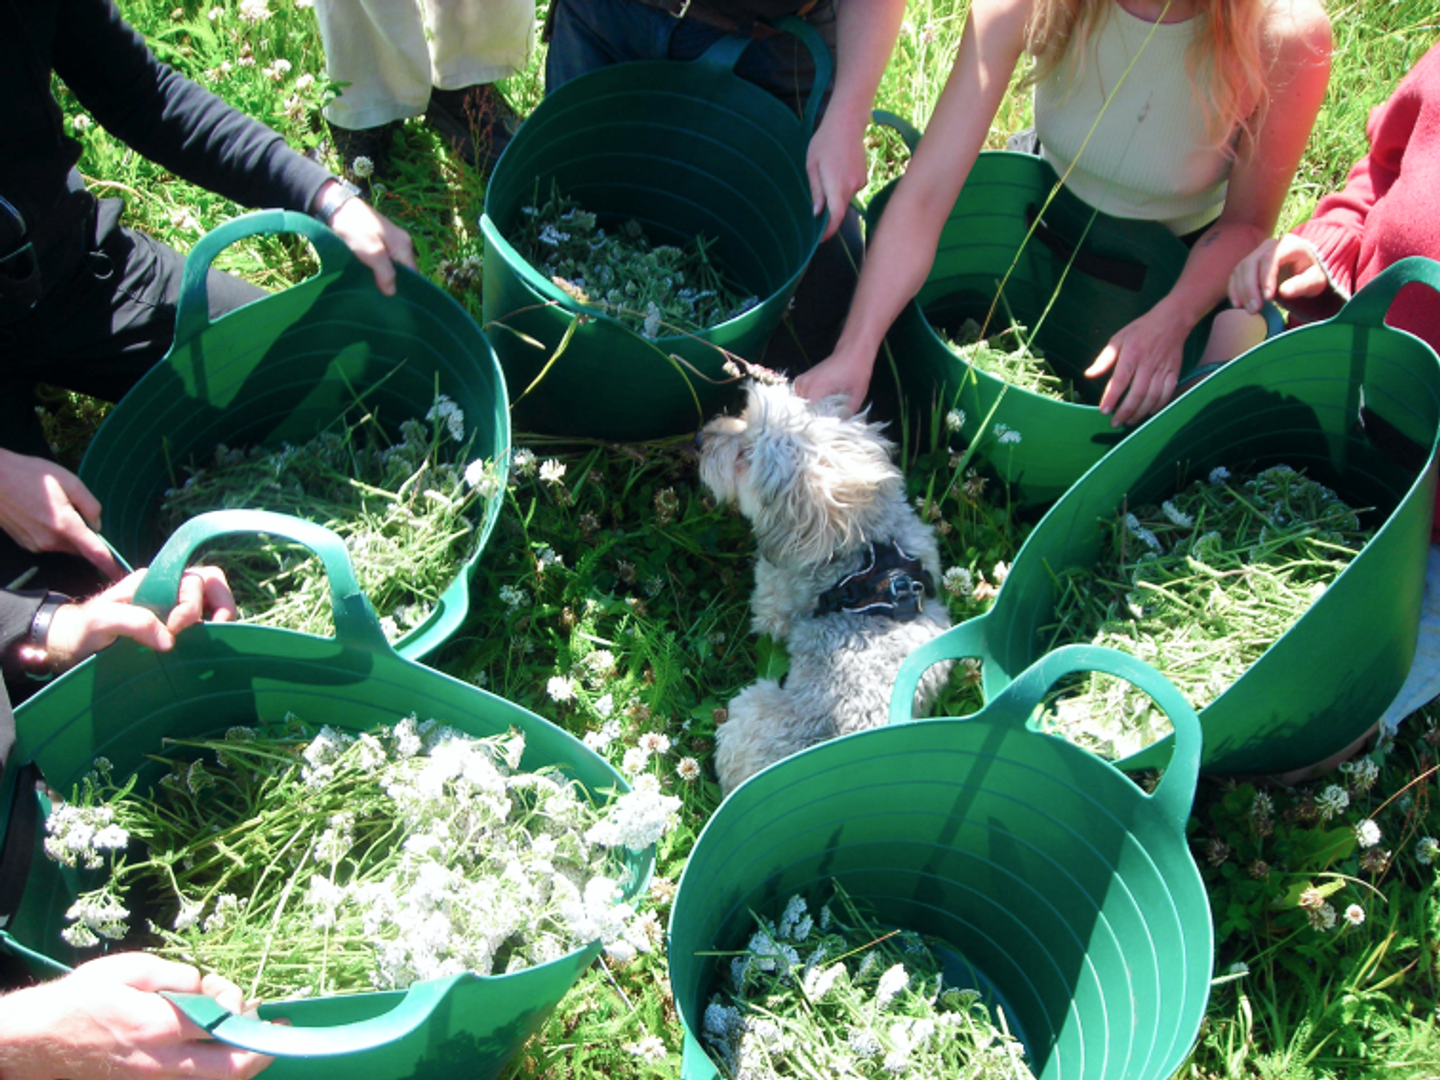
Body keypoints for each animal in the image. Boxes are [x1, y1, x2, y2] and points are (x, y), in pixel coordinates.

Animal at [699, 380, 956, 794]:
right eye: (745, 415)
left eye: (746, 457)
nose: (698, 439)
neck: (866, 546)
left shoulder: (772, 601)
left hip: (750, 702)